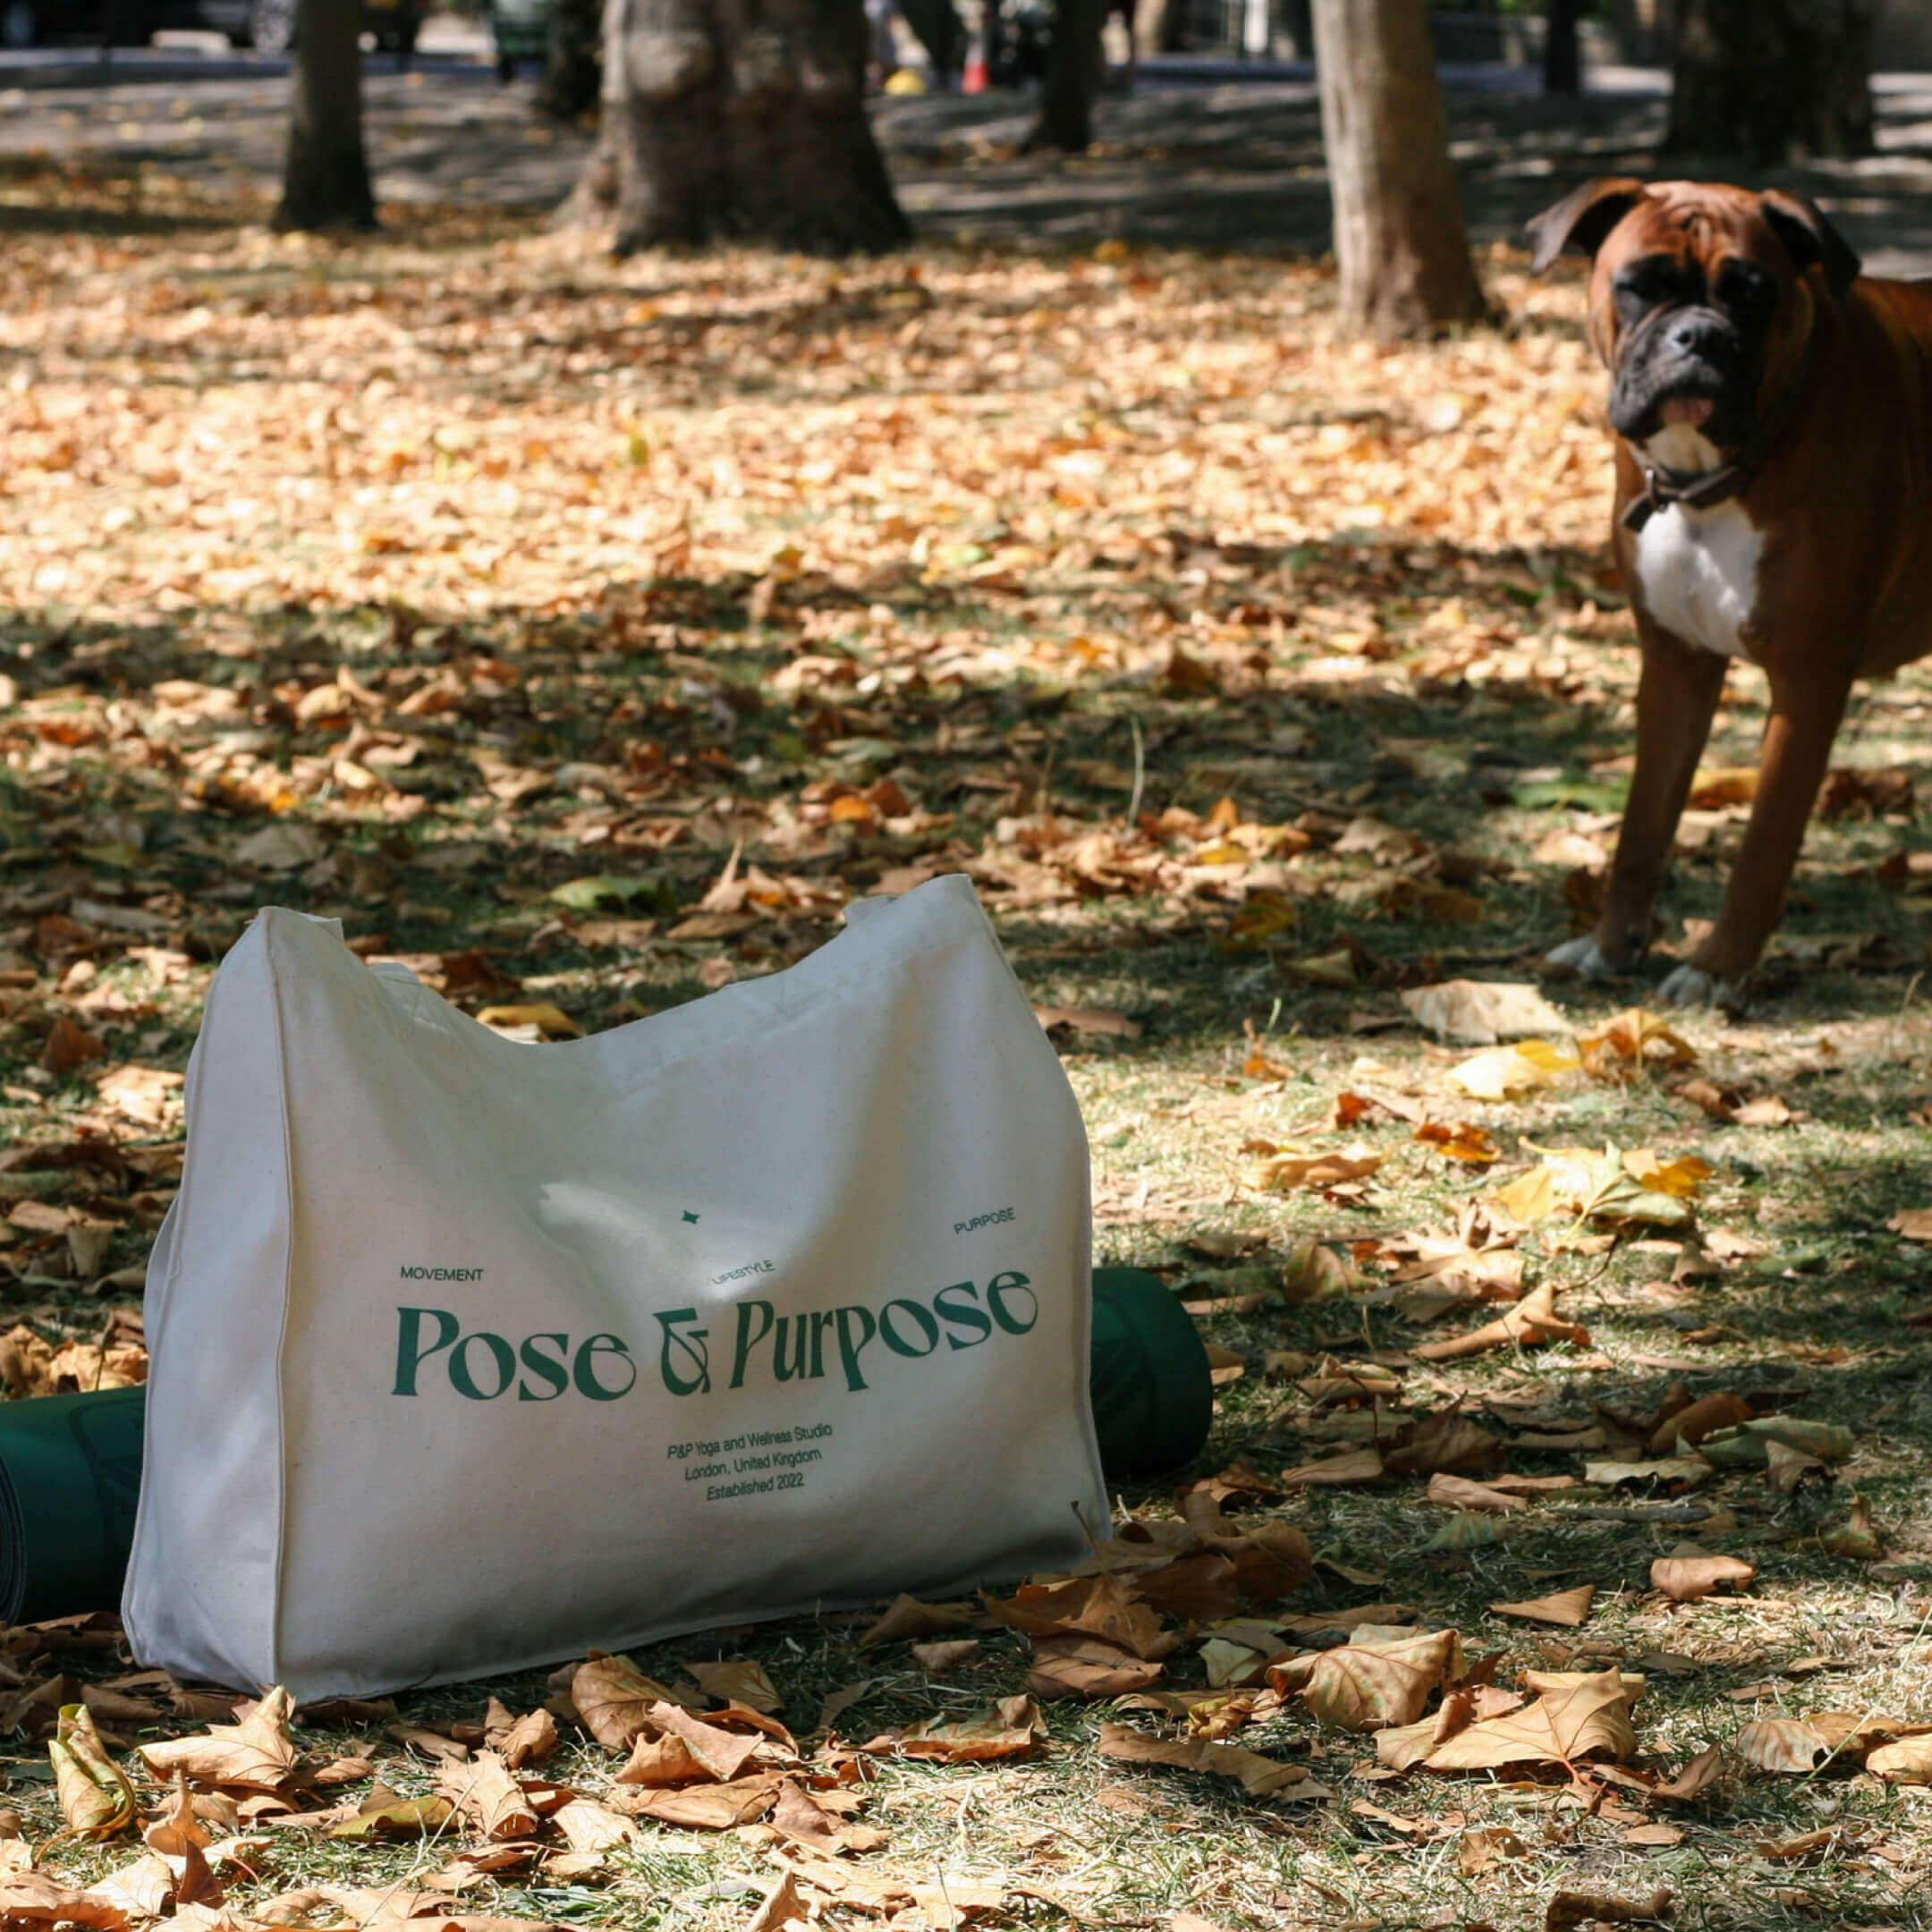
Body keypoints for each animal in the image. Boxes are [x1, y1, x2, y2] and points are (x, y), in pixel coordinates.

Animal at [1522, 177, 1932, 1012]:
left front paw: (1719, 968)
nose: (1699, 337)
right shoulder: (1674, 668)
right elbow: (1642, 829)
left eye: (1752, 292)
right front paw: (1613, 946)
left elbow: (1762, 846)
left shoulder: (1808, 684)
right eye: (1641, 285)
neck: (1709, 480)